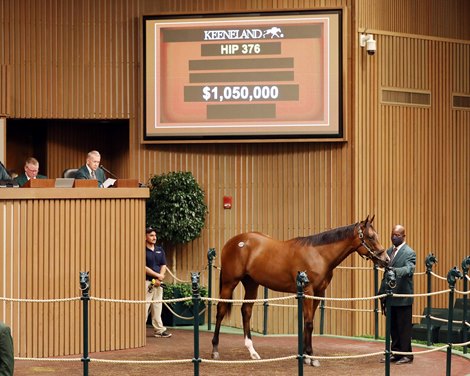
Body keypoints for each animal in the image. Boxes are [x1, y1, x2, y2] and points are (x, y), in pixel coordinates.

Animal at [211, 216, 388, 366]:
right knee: (220, 310)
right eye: (370, 237)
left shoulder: (318, 293)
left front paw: (305, 356)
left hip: (251, 284)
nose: (385, 259)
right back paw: (215, 350)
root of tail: (234, 241)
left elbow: (307, 321)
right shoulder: (308, 291)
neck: (319, 254)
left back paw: (252, 352)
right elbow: (309, 323)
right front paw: (310, 356)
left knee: (246, 311)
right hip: (229, 282)